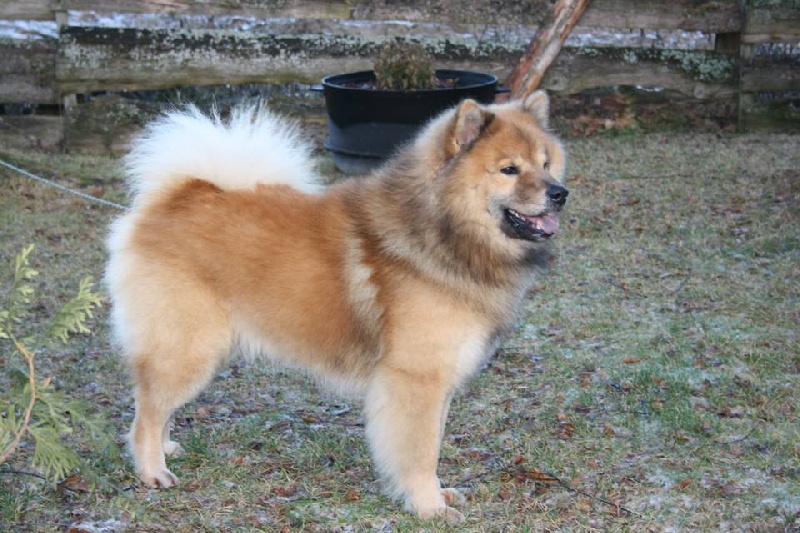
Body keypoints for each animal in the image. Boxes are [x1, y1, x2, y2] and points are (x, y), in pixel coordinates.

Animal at [105, 91, 568, 522]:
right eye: (509, 169)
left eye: (546, 164)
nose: (560, 193)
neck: (442, 232)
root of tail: (178, 195)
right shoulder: (416, 380)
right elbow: (419, 452)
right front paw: (428, 507)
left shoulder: (440, 382)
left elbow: (433, 444)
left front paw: (440, 494)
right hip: (189, 349)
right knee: (146, 410)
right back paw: (152, 471)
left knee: (156, 405)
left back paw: (166, 446)